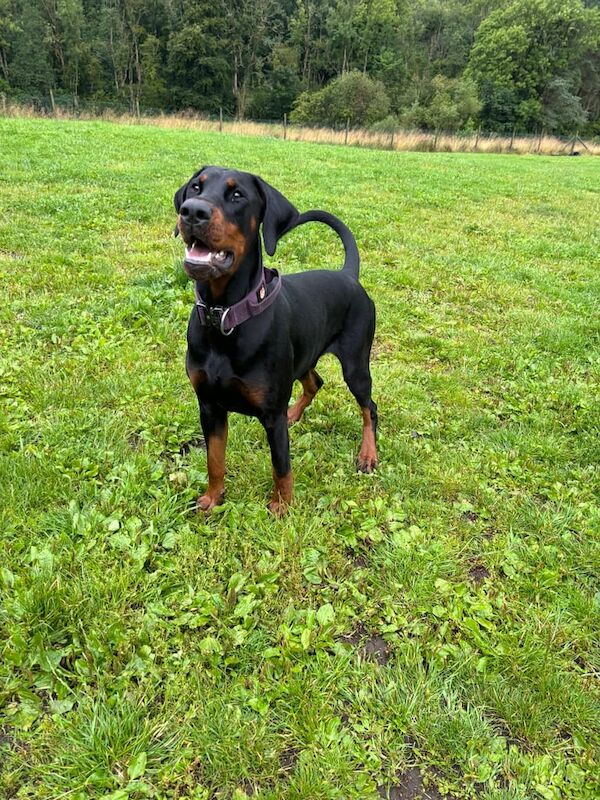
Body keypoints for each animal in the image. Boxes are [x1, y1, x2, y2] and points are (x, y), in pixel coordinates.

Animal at [176, 166, 378, 516]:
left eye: (237, 195)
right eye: (195, 188)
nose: (192, 211)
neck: (224, 316)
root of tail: (348, 275)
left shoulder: (271, 416)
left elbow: (281, 465)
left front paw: (282, 507)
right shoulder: (209, 406)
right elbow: (214, 459)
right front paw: (213, 498)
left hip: (355, 364)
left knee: (369, 408)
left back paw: (368, 453)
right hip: (304, 356)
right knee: (315, 382)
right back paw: (295, 414)